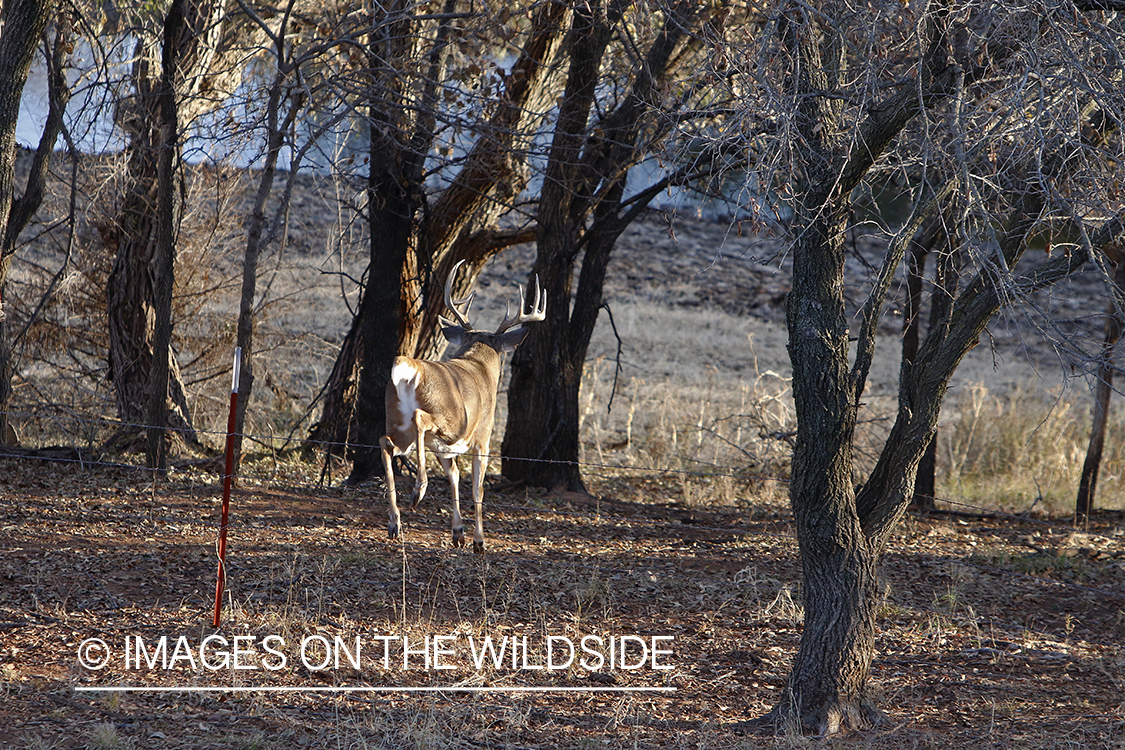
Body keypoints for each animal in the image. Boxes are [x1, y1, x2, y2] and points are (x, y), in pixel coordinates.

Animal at [380, 260, 546, 555]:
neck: (479, 364)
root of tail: (407, 369)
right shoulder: (483, 437)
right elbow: (477, 489)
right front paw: (479, 541)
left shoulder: (445, 448)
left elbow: (454, 476)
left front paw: (458, 533)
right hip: (451, 420)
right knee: (419, 419)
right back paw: (418, 491)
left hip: (397, 421)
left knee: (385, 441)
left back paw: (395, 522)